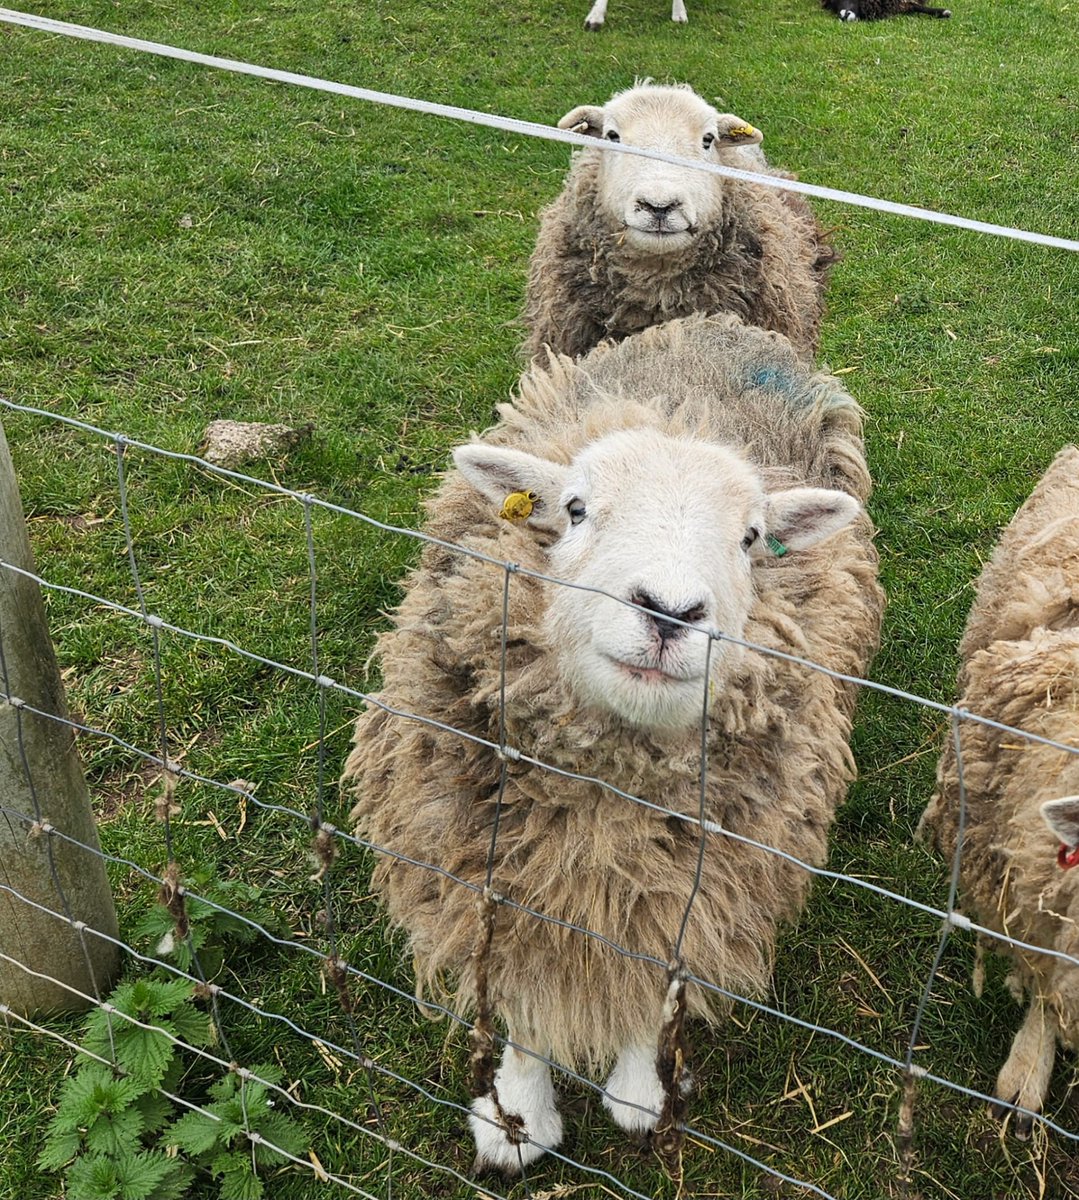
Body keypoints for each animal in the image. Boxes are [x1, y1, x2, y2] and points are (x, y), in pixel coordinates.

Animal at [343, 312, 884, 1173]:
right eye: (572, 509)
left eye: (751, 538)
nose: (669, 611)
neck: (603, 807)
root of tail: (711, 323)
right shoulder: (487, 869)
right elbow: (516, 988)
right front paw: (516, 1113)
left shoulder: (704, 876)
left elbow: (660, 964)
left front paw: (637, 1087)